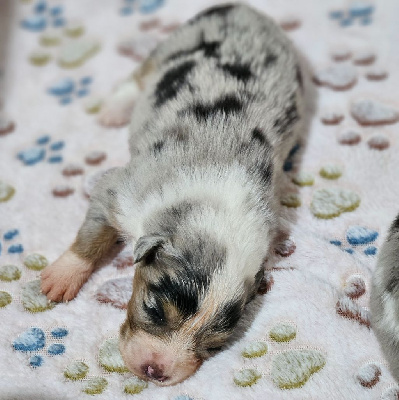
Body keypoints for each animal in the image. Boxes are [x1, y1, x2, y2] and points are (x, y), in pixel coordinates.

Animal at [41, 1, 306, 386]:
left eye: (213, 345)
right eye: (153, 308)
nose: (155, 371)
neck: (219, 205)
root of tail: (241, 8)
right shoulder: (116, 192)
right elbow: (90, 239)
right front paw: (60, 280)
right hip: (168, 50)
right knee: (137, 79)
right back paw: (112, 111)